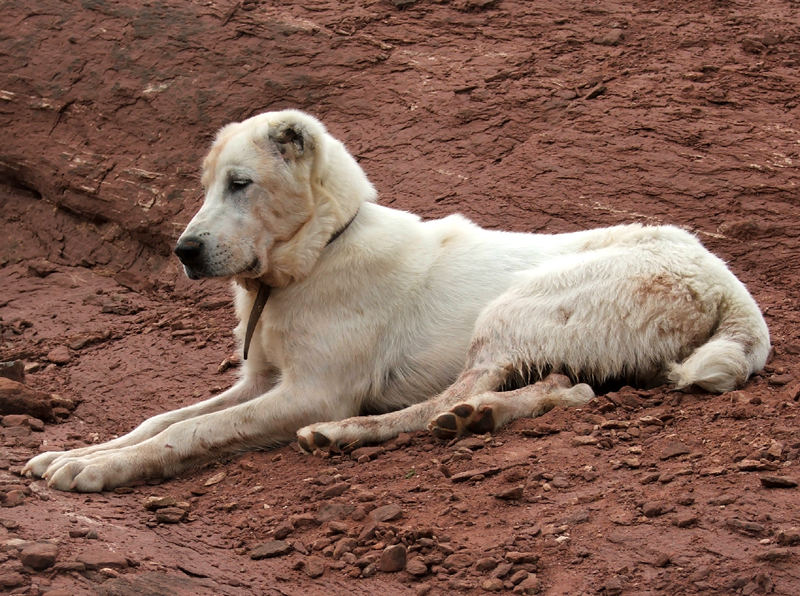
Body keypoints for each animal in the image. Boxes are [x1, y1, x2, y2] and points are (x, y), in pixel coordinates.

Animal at [25, 109, 772, 492]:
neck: (319, 252)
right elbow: (161, 419)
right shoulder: (260, 381)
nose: (183, 251)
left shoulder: (311, 391)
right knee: (568, 389)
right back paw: (482, 416)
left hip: (512, 309)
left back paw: (354, 434)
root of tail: (729, 286)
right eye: (210, 185)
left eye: (241, 183)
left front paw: (101, 469)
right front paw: (82, 453)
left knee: (444, 397)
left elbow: (188, 432)